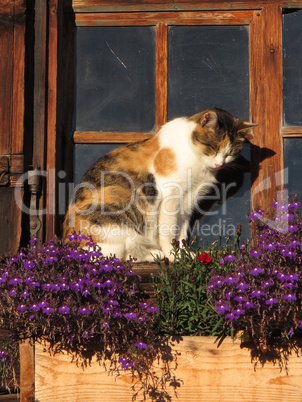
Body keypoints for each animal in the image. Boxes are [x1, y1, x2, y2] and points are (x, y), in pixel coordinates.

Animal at [63, 108, 255, 262]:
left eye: (230, 153)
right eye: (213, 147)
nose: (219, 163)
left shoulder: (188, 200)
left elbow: (181, 232)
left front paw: (183, 253)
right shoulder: (170, 196)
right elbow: (168, 232)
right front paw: (172, 254)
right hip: (118, 206)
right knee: (115, 257)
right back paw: (158, 254)